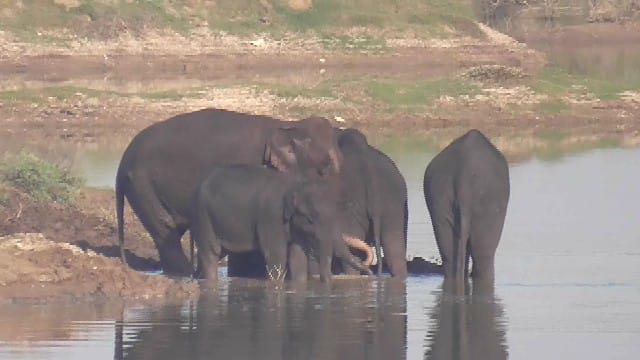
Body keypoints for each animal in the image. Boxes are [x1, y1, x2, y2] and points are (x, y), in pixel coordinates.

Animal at [117, 107, 342, 276]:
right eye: (325, 168)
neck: (288, 125)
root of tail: (123, 159)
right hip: (143, 186)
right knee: (166, 231)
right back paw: (186, 274)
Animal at [188, 165, 372, 282]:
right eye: (310, 220)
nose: (370, 272)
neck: (295, 185)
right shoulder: (271, 217)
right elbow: (277, 256)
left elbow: (298, 258)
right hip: (203, 216)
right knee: (211, 254)